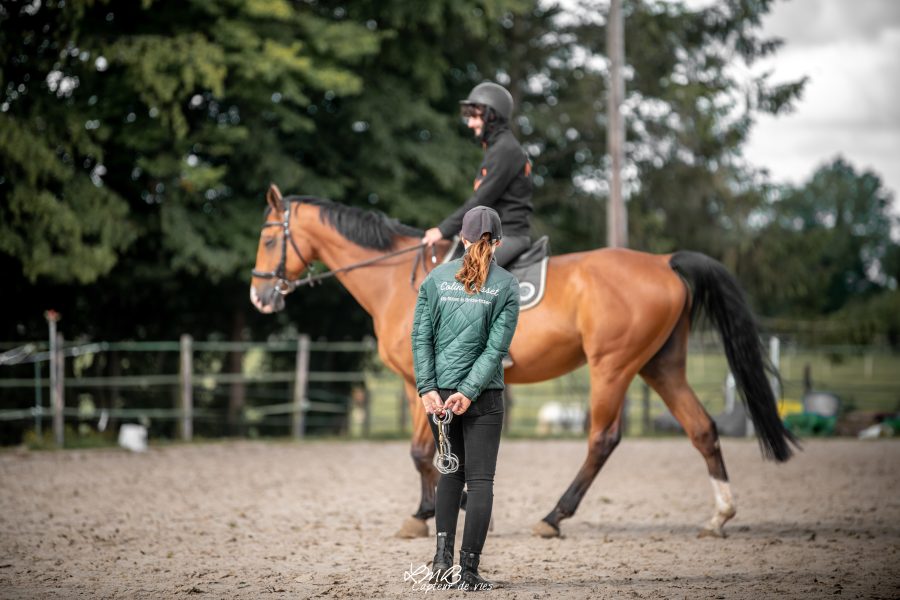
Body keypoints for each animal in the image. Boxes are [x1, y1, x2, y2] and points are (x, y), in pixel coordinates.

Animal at [250, 183, 800, 540]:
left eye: (270, 239)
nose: (259, 297)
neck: (396, 280)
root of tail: (664, 261)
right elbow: (427, 450)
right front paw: (443, 507)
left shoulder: (417, 380)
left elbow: (422, 451)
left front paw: (428, 512)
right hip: (660, 367)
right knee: (702, 428)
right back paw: (719, 517)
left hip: (612, 367)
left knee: (603, 438)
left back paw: (554, 517)